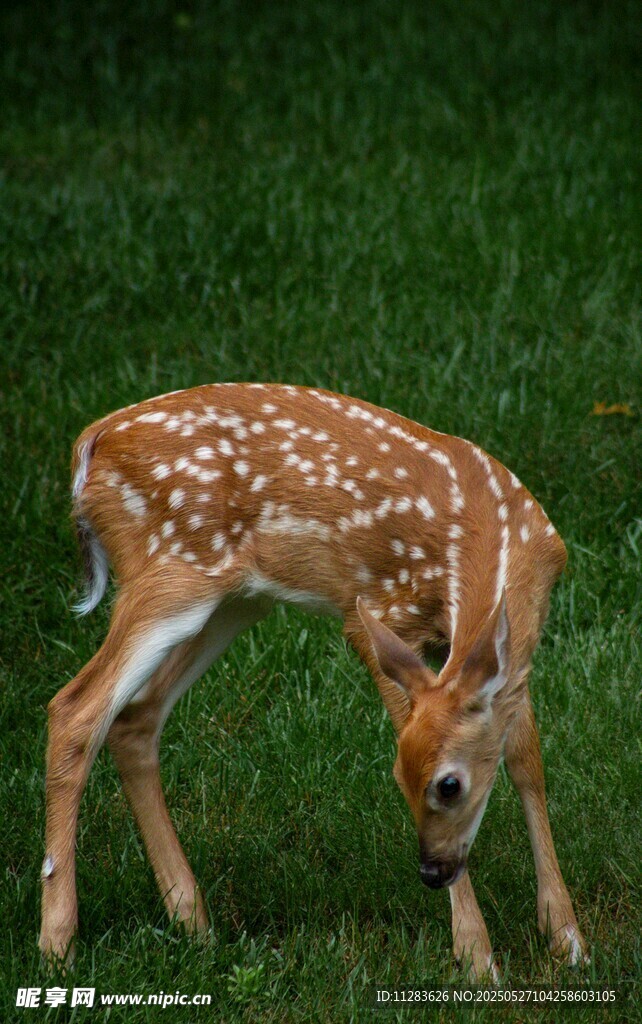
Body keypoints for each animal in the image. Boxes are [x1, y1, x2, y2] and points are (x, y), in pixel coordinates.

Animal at [39, 383, 587, 980]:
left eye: (448, 785)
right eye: (399, 777)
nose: (430, 872)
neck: (489, 537)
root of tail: (90, 442)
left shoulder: (495, 661)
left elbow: (527, 759)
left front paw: (566, 936)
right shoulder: (377, 618)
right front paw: (476, 956)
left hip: (232, 600)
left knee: (136, 717)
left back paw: (193, 921)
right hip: (169, 571)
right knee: (76, 709)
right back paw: (57, 944)